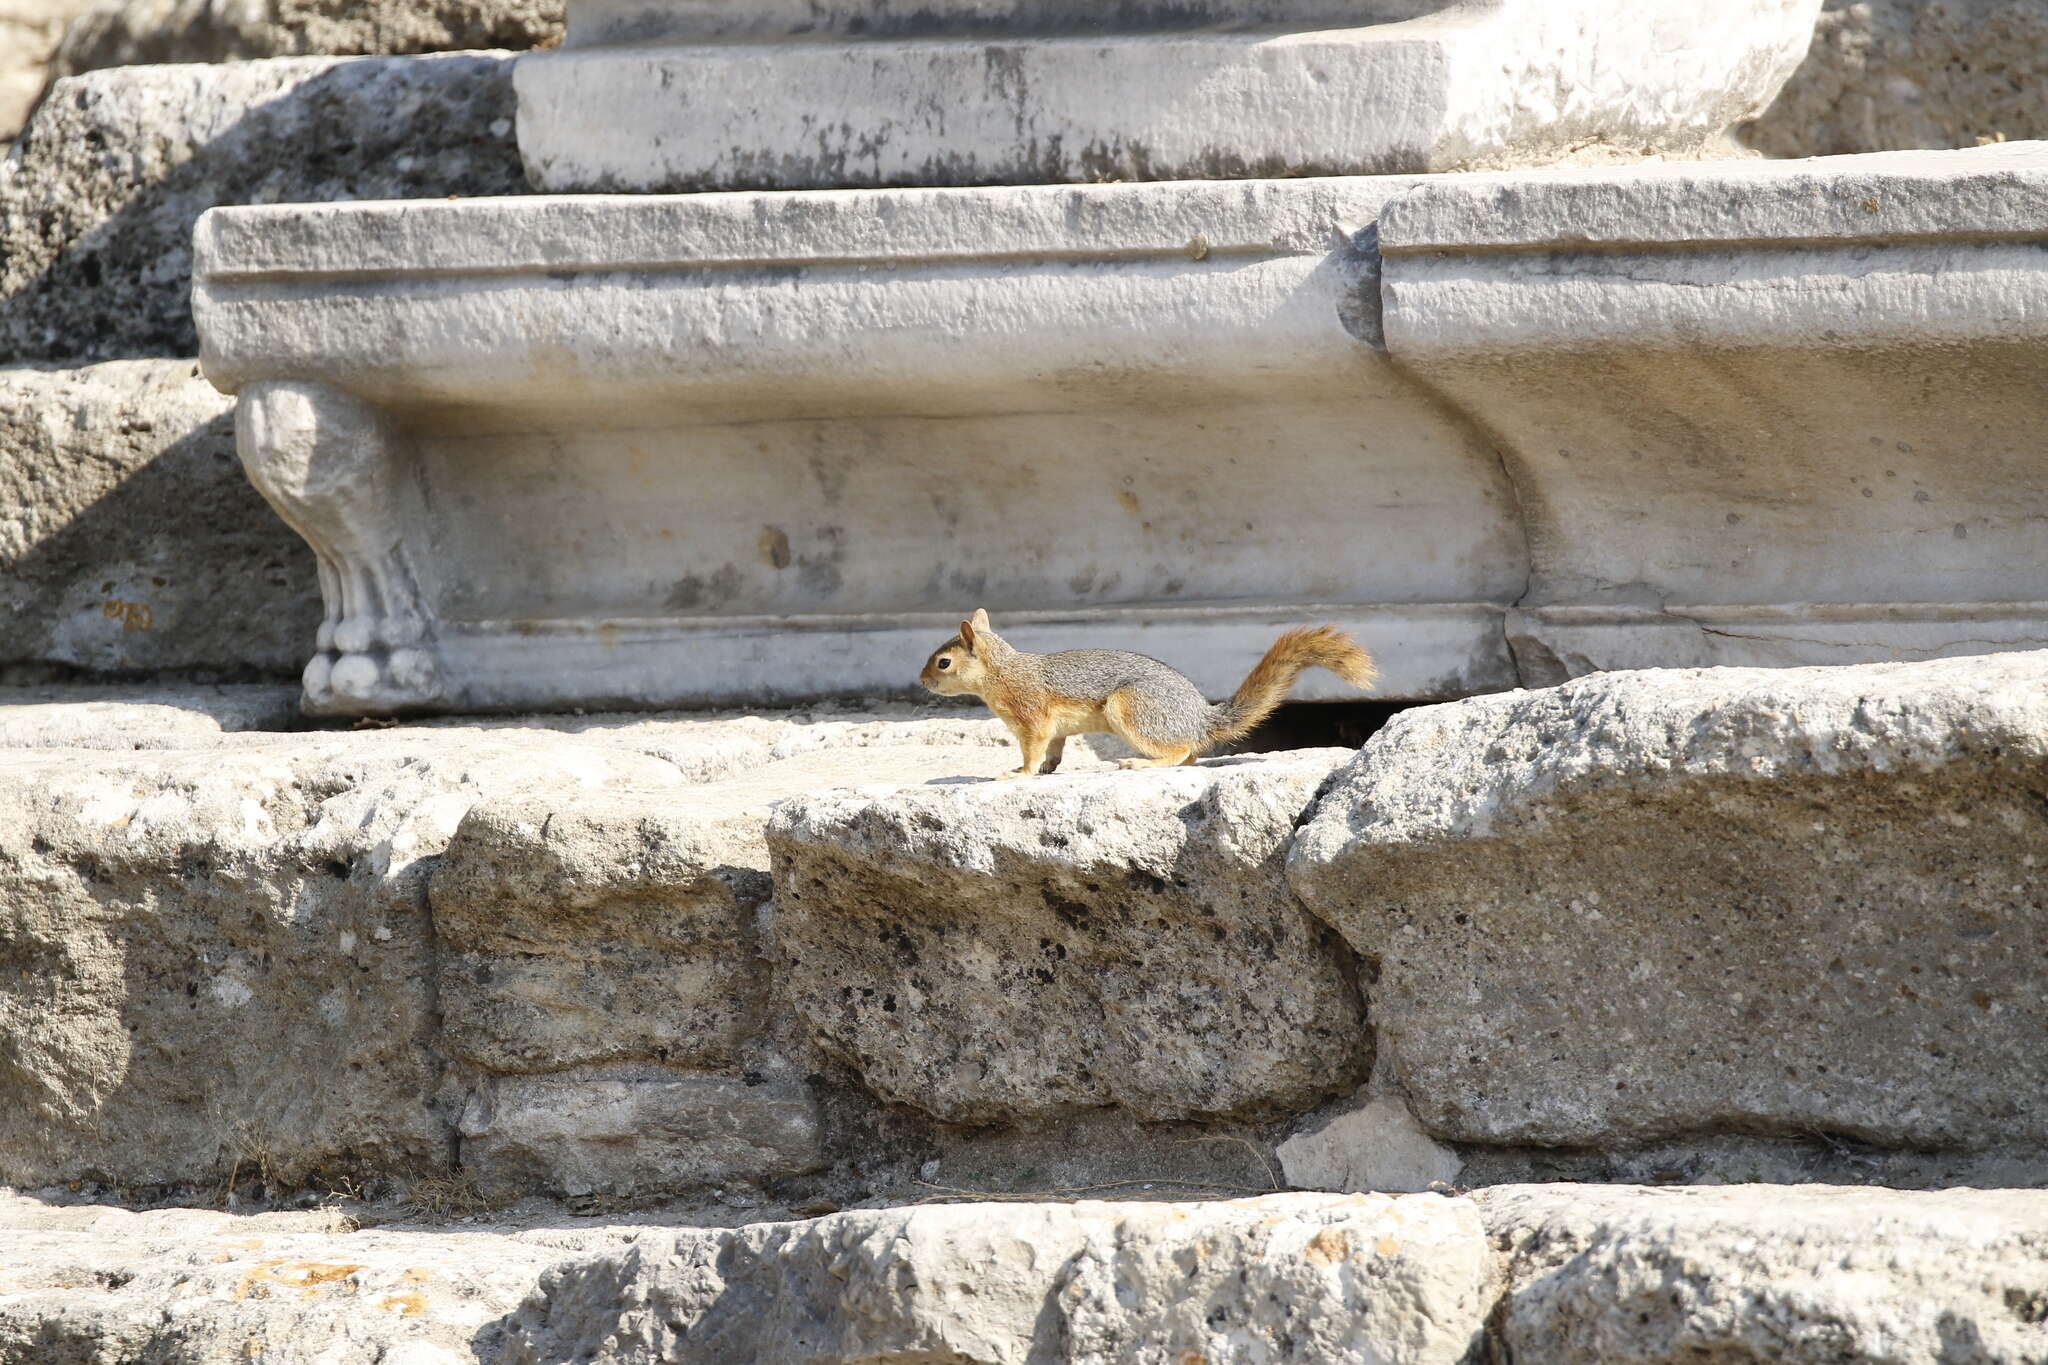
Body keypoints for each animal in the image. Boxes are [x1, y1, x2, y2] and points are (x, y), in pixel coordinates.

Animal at [925, 609, 1376, 777]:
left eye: (943, 663)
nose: (923, 680)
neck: (1003, 672)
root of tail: (1199, 717)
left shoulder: (1031, 716)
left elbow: (1033, 748)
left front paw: (1019, 772)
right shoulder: (1055, 728)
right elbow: (1054, 749)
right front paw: (1050, 769)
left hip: (1133, 709)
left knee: (1180, 752)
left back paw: (1138, 763)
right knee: (1190, 756)